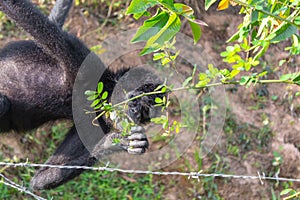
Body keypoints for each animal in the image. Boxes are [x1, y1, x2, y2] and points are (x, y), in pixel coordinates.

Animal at [0, 0, 161, 190]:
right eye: (136, 102)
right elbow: (22, 13)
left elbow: (39, 180)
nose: (135, 113)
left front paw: (115, 143)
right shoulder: (85, 62)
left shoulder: (97, 124)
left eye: (144, 113)